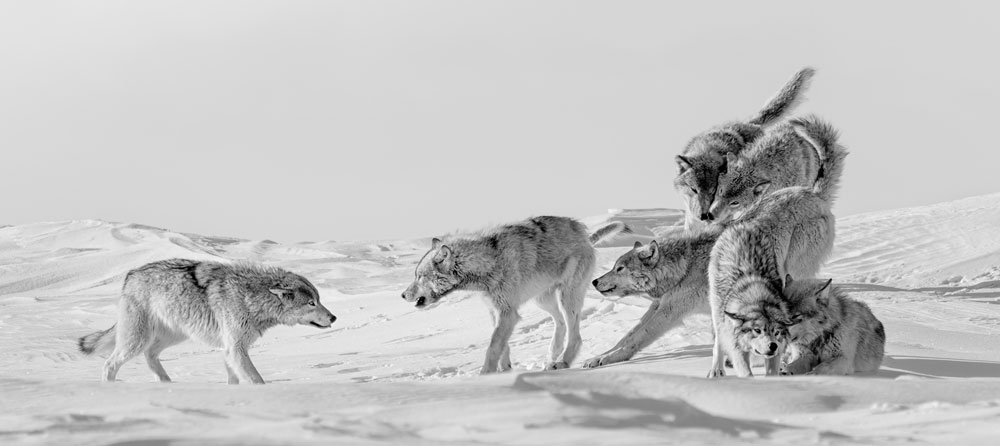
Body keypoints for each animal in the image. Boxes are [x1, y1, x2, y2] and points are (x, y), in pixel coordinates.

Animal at [78, 259, 336, 384]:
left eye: (319, 300)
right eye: (311, 303)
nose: (334, 317)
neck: (252, 298)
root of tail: (130, 275)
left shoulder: (230, 349)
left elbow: (234, 380)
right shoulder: (235, 348)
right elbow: (256, 380)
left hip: (174, 335)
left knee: (150, 355)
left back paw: (166, 383)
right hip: (138, 339)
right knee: (110, 364)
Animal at [401, 217, 629, 374]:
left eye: (420, 276)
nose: (402, 295)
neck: (488, 263)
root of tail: (586, 238)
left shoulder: (507, 312)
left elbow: (493, 346)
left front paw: (485, 374)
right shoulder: (497, 311)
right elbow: (502, 344)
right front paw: (505, 369)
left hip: (567, 298)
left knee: (575, 335)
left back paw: (562, 361)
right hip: (542, 300)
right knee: (560, 323)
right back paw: (553, 353)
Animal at [585, 227, 721, 368]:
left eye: (620, 268)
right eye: (614, 267)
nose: (594, 281)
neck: (685, 268)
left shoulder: (669, 310)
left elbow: (639, 335)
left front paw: (610, 357)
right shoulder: (658, 304)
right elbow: (628, 335)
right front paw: (599, 357)